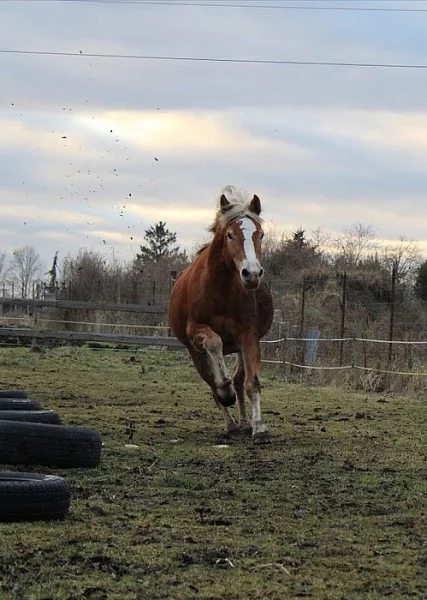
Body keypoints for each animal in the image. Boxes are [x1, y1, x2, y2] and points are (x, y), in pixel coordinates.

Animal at [168, 185, 274, 442]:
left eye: (260, 235)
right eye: (230, 235)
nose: (251, 273)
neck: (221, 289)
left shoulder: (248, 336)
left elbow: (251, 384)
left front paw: (260, 428)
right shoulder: (196, 330)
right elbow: (215, 345)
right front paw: (225, 391)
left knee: (239, 380)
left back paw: (244, 423)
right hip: (194, 352)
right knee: (212, 385)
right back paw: (231, 423)